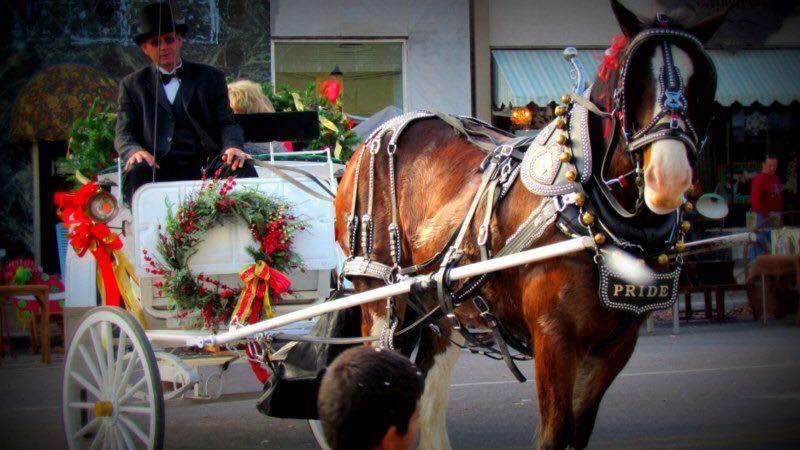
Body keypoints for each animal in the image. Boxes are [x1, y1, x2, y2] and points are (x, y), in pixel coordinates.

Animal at [333, 2, 726, 448]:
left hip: (441, 307)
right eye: (632, 79)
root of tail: (370, 141)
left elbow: (579, 430)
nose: (669, 177)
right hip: (377, 293)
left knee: (429, 397)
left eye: (703, 84)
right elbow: (555, 432)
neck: (590, 214)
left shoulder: (617, 344)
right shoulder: (553, 338)